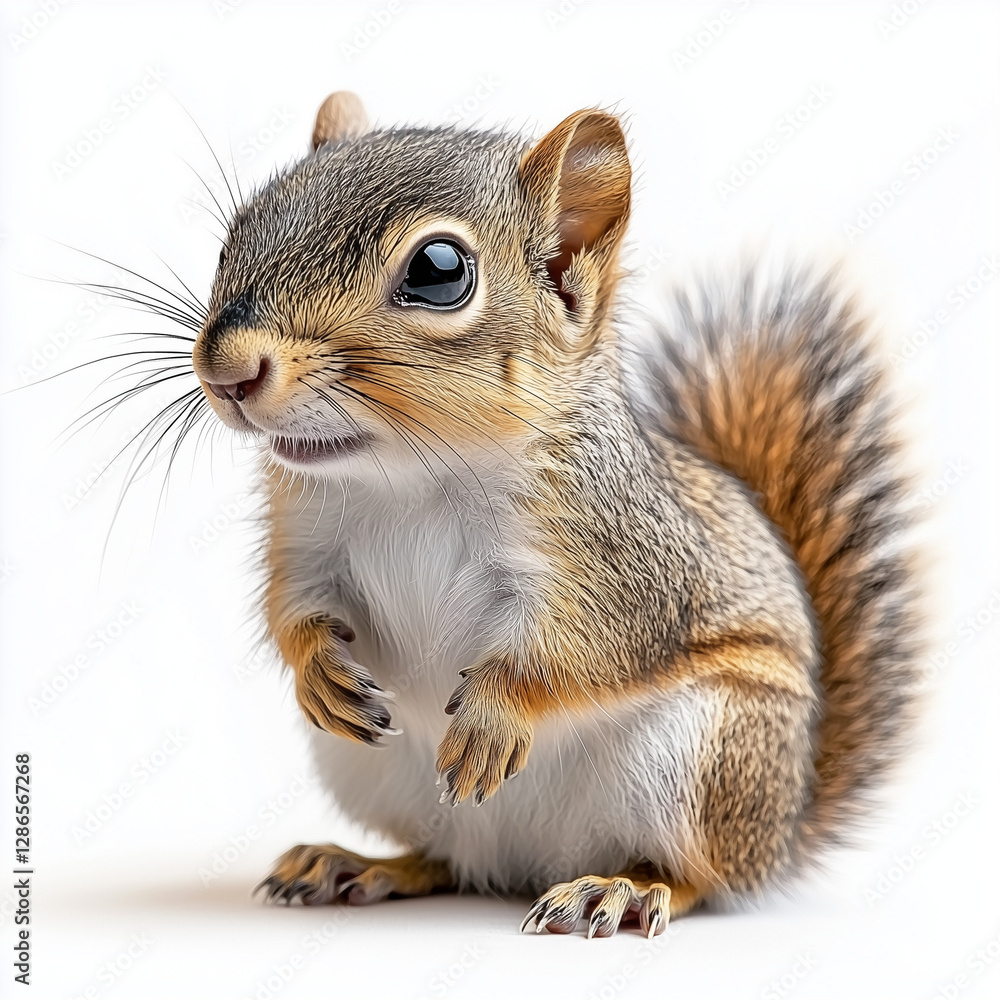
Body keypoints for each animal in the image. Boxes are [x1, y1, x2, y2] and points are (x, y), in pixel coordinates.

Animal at [187, 91, 920, 938]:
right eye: (234, 236)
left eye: (438, 271)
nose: (229, 369)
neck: (410, 478)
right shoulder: (305, 536)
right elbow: (291, 610)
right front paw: (318, 671)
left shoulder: (627, 555)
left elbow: (587, 649)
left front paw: (499, 712)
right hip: (372, 769)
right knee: (445, 858)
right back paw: (361, 864)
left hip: (705, 755)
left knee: (698, 874)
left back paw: (621, 888)